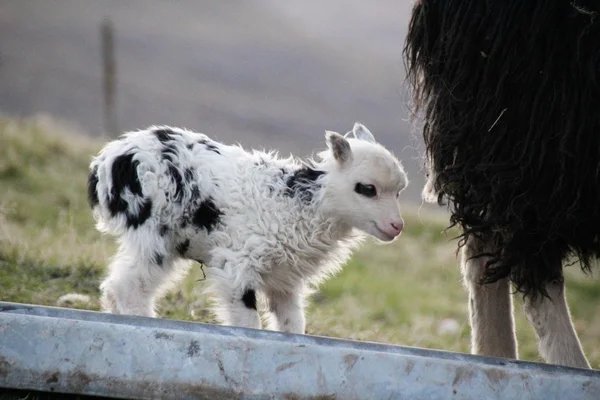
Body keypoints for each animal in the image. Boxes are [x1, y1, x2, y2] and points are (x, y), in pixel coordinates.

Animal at [89, 122, 408, 334]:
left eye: (400, 192)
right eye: (367, 189)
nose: (397, 227)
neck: (300, 205)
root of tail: (107, 162)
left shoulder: (284, 281)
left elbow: (293, 324)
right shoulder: (237, 265)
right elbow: (248, 322)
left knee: (118, 287)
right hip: (154, 234)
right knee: (127, 289)